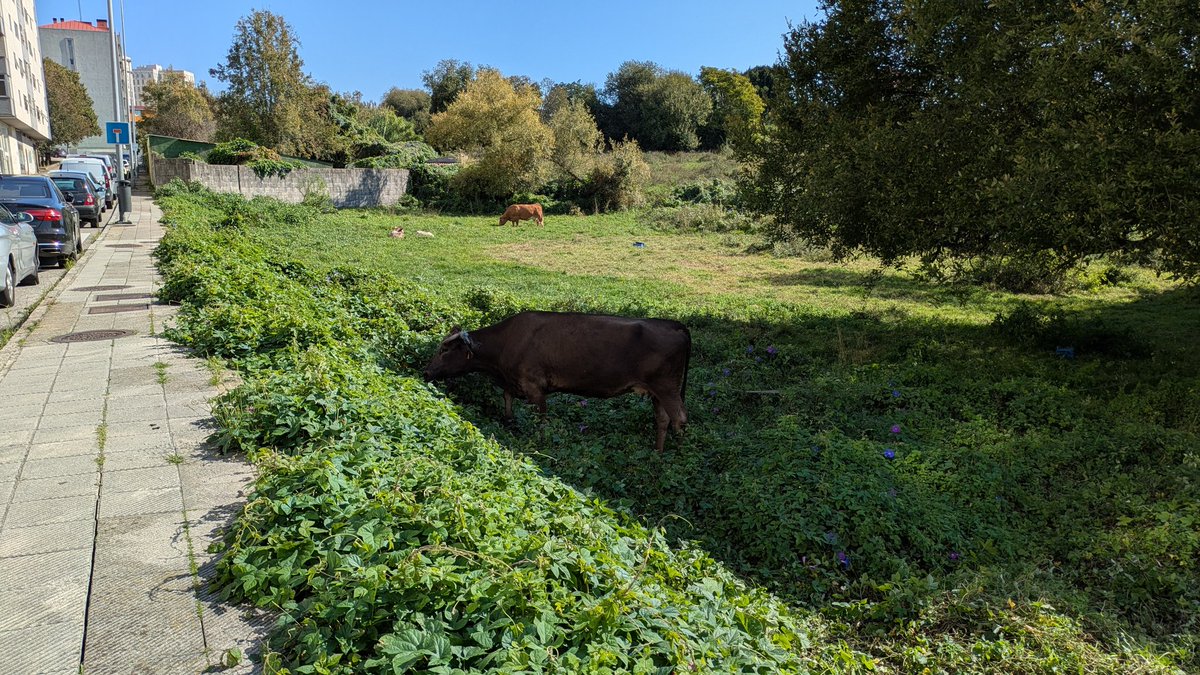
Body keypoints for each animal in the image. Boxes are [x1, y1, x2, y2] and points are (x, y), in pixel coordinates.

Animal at [423, 311, 690, 452]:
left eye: (444, 350)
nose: (425, 372)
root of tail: (673, 324)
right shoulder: (514, 382)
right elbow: (507, 397)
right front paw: (509, 421)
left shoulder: (535, 387)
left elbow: (540, 420)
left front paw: (539, 443)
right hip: (658, 392)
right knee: (663, 419)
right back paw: (658, 452)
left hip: (666, 387)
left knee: (680, 419)